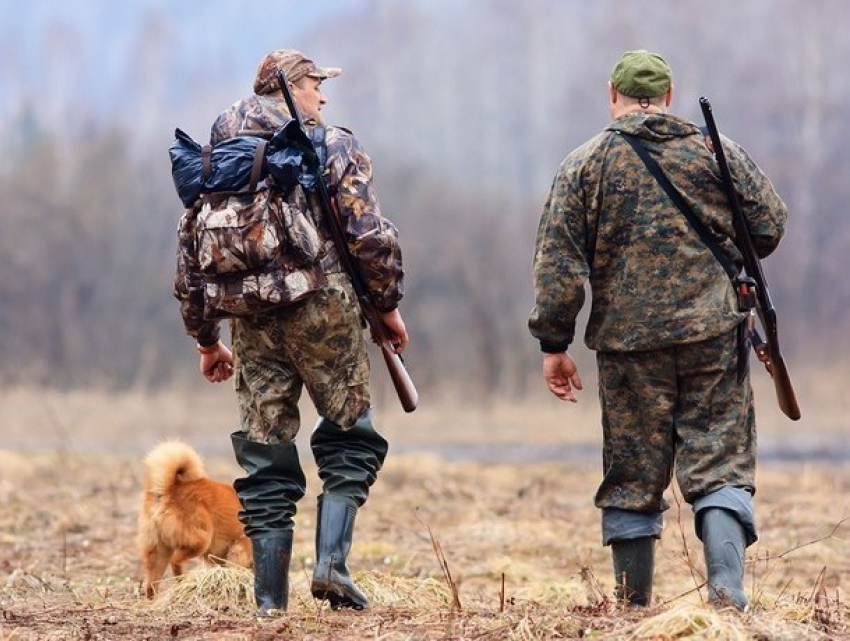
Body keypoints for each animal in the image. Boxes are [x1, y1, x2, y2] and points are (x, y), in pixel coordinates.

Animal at [137, 438, 252, 596]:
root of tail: (171, 488)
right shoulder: (240, 547)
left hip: (159, 552)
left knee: (150, 585)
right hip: (200, 540)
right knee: (175, 561)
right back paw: (182, 582)